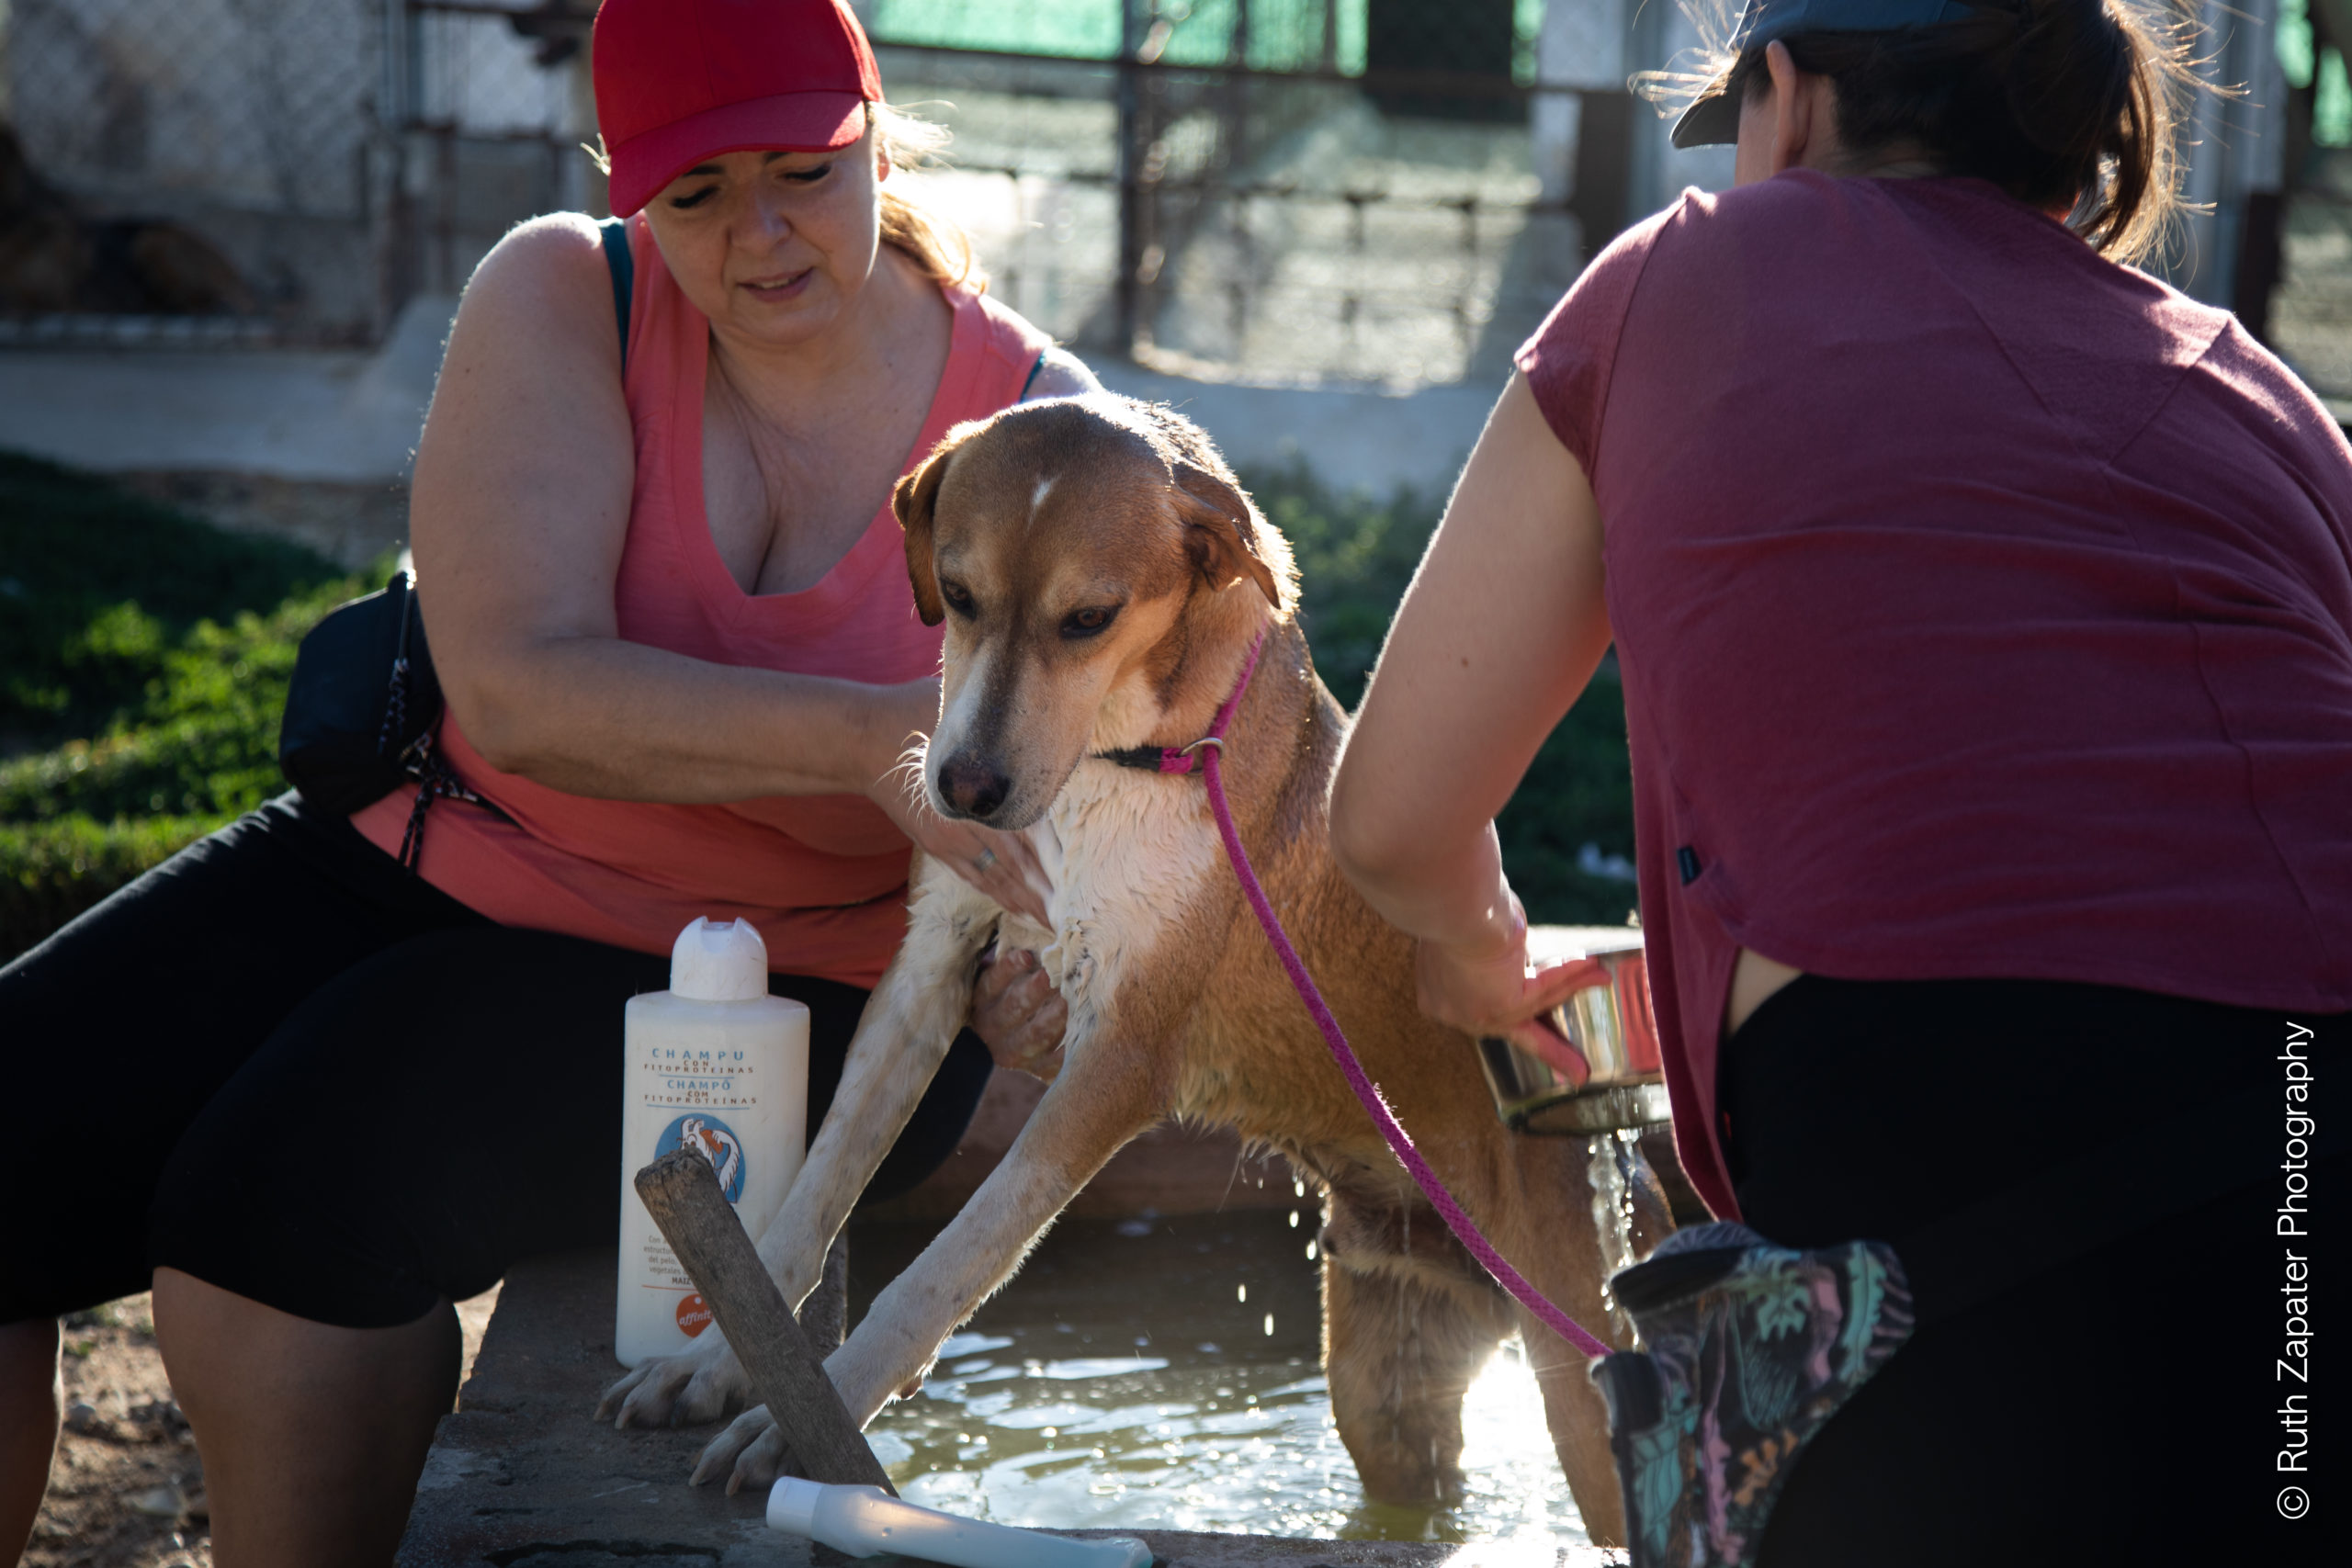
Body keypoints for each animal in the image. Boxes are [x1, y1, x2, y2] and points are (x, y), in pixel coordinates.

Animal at [606, 392, 1674, 1541]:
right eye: (959, 593)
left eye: (1088, 618)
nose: (962, 788)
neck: (1114, 764)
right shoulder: (925, 973)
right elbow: (808, 1199)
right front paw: (717, 1363)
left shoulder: (1119, 1062)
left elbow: (945, 1267)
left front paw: (812, 1414)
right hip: (1388, 1384)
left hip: (1582, 1388)